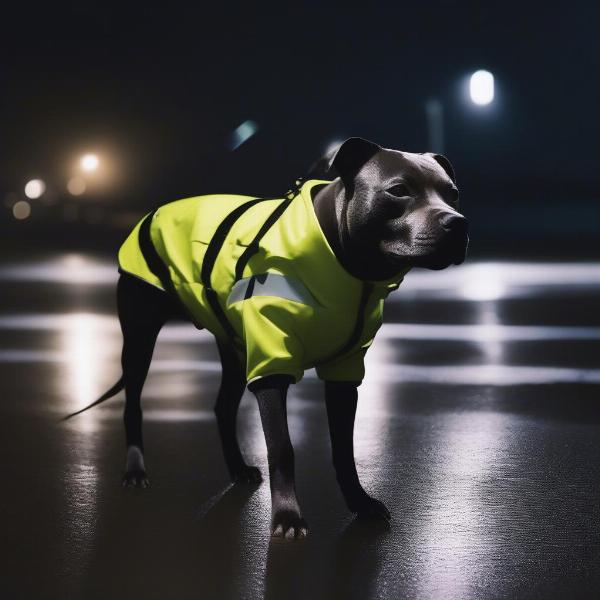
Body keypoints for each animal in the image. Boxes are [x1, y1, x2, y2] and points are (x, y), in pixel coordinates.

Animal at [65, 137, 468, 540]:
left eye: (453, 194)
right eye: (399, 190)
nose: (457, 223)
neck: (349, 270)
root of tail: (155, 210)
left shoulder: (344, 373)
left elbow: (343, 449)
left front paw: (359, 503)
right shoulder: (271, 366)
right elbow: (282, 447)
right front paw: (287, 517)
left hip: (232, 348)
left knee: (222, 407)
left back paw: (237, 469)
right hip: (139, 341)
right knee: (133, 404)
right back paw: (135, 470)